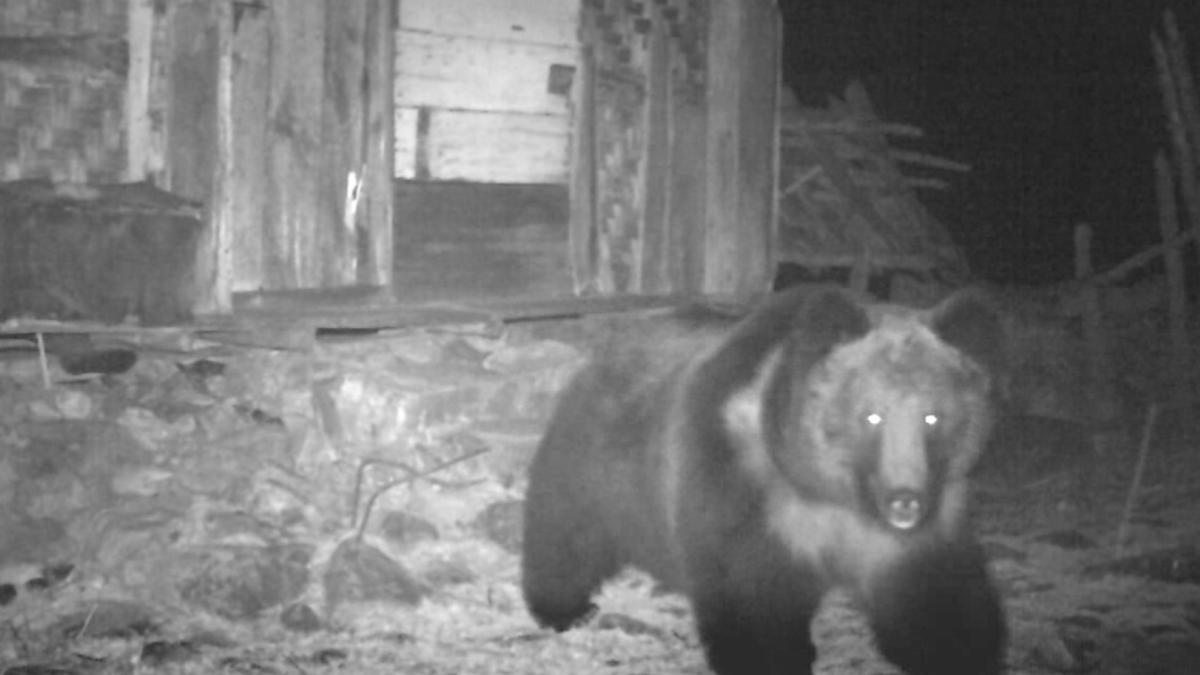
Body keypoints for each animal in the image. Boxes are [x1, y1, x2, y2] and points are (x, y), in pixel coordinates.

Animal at [520, 285, 1007, 675]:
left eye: (933, 416)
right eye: (871, 415)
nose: (904, 499)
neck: (828, 492)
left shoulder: (917, 531)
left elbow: (935, 604)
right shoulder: (744, 493)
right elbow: (754, 606)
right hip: (600, 462)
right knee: (566, 532)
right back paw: (564, 607)